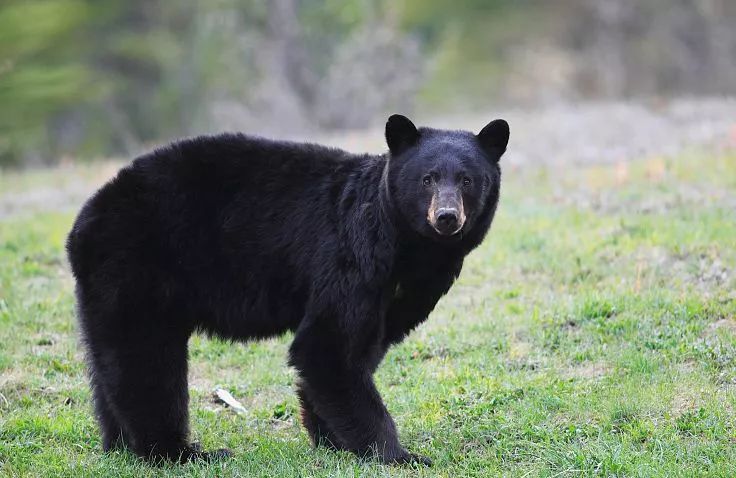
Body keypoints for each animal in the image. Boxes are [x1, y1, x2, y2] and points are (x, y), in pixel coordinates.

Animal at [66, 114, 508, 464]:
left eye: (467, 180)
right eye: (427, 179)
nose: (447, 217)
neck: (406, 247)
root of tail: (84, 223)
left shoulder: (398, 294)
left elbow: (359, 351)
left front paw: (331, 440)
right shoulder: (351, 258)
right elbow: (327, 345)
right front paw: (397, 454)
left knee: (112, 363)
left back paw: (119, 445)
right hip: (139, 268)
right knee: (147, 362)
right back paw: (179, 452)